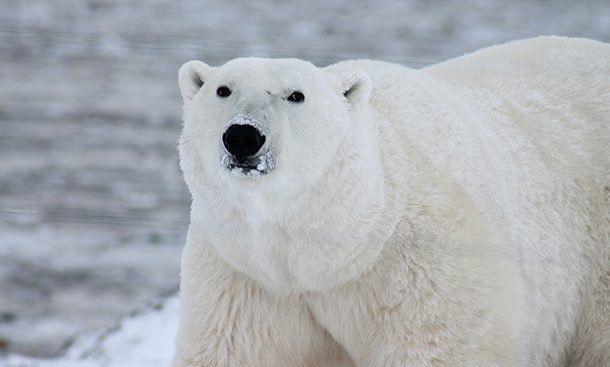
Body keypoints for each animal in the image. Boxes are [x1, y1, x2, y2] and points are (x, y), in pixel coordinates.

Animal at [171, 38, 608, 367]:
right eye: (223, 89)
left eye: (296, 94)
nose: (243, 136)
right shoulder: (246, 275)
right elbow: (235, 350)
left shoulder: (424, 265)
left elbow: (439, 348)